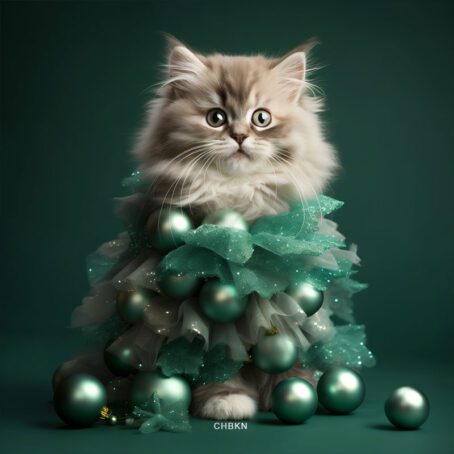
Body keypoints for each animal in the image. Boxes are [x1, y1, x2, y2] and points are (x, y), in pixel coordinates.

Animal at [131, 37, 336, 420]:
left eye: (261, 118)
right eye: (216, 118)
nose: (240, 136)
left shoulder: (287, 299)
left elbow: (288, 347)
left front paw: (296, 389)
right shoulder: (211, 302)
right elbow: (218, 356)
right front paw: (225, 399)